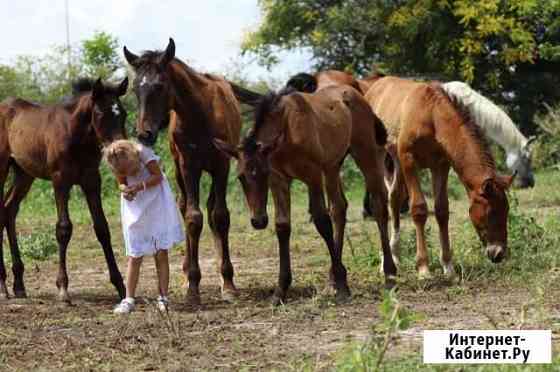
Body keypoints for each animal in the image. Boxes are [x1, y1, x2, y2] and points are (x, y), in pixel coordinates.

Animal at [0, 77, 127, 300]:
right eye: (100, 114)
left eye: (124, 113)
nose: (118, 149)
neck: (76, 135)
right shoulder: (60, 180)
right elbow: (63, 228)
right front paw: (62, 287)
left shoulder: (91, 181)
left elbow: (102, 228)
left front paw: (120, 286)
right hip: (2, 166)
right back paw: (3, 286)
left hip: (24, 174)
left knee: (9, 210)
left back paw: (18, 285)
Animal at [123, 38, 240, 306]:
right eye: (135, 88)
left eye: (160, 85)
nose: (144, 134)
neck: (201, 114)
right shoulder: (189, 167)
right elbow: (192, 218)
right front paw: (193, 286)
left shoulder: (222, 165)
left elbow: (220, 217)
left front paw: (228, 282)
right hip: (179, 171)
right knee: (185, 205)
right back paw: (187, 273)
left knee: (213, 210)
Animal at [212, 82, 396, 306]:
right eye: (240, 177)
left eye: (263, 172)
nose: (258, 221)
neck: (286, 130)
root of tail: (358, 96)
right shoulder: (280, 179)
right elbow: (282, 226)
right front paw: (280, 291)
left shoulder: (312, 175)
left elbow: (321, 220)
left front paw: (343, 286)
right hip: (332, 166)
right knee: (339, 208)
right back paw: (331, 280)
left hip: (365, 153)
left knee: (378, 206)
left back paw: (389, 276)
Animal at [366, 76, 516, 280]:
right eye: (491, 212)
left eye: (506, 211)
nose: (499, 253)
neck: (432, 116)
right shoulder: (409, 161)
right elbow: (419, 209)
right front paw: (423, 268)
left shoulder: (441, 165)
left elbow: (442, 210)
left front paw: (448, 267)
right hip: (382, 156)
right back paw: (385, 262)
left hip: (396, 160)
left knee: (395, 198)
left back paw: (395, 257)